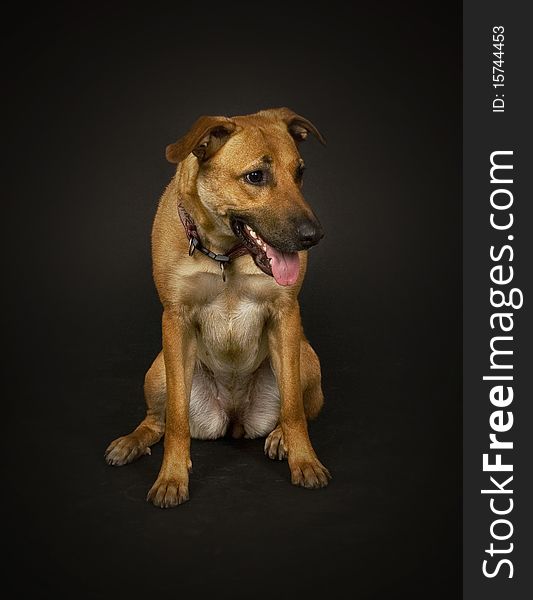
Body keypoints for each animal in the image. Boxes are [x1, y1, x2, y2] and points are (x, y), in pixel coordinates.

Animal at [103, 106, 328, 506]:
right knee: (157, 420)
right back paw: (132, 442)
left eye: (300, 172)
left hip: (307, 359)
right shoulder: (175, 321)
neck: (225, 254)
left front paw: (304, 461)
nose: (313, 237)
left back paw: (280, 437)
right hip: (158, 371)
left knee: (294, 407)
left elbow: (293, 410)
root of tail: (234, 418)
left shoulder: (286, 314)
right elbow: (177, 420)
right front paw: (171, 477)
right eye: (255, 176)